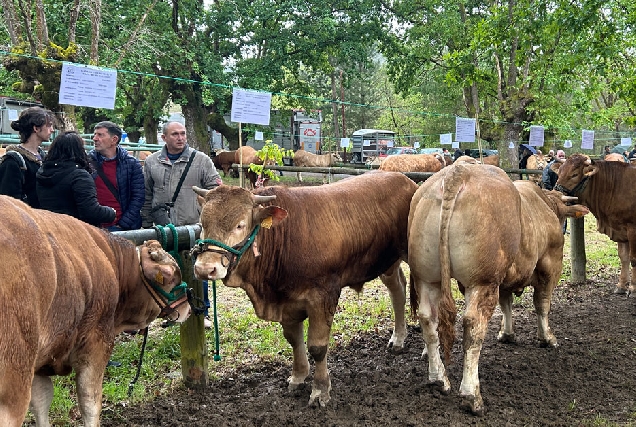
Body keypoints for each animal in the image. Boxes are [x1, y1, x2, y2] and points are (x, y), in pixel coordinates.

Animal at [0, 198, 191, 427]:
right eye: (172, 276)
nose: (189, 307)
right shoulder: (97, 342)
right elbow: (90, 402)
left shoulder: (41, 360)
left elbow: (41, 401)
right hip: (13, 383)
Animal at [189, 173, 418, 408]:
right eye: (202, 223)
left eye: (240, 225)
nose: (205, 268)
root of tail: (402, 178)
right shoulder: (286, 301)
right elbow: (293, 339)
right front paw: (298, 376)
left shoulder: (323, 296)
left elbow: (317, 347)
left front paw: (320, 390)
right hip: (387, 263)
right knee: (398, 291)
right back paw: (398, 338)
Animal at [410, 162, 588, 416]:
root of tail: (459, 173)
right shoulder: (550, 264)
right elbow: (542, 304)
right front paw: (547, 338)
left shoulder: (505, 277)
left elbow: (507, 304)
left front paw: (507, 333)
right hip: (483, 281)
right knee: (473, 325)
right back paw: (471, 396)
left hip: (427, 278)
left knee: (428, 320)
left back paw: (438, 379)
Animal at [556, 155, 636, 296]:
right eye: (559, 172)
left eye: (574, 174)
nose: (555, 192)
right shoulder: (620, 228)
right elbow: (624, 257)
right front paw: (621, 285)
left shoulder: (632, 229)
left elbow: (633, 258)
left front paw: (633, 288)